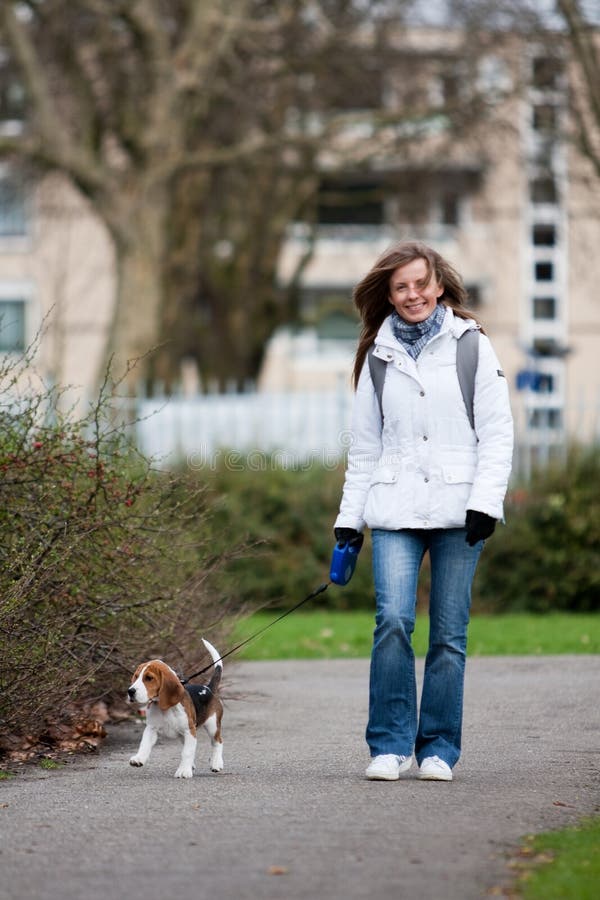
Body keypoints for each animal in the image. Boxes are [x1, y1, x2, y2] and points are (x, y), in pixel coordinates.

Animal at [126, 636, 223, 776]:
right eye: (136, 676)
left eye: (149, 678)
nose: (130, 691)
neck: (165, 709)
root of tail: (208, 688)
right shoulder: (151, 729)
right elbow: (144, 744)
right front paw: (139, 758)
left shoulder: (189, 731)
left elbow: (187, 752)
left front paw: (183, 771)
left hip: (212, 725)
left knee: (218, 742)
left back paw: (216, 763)